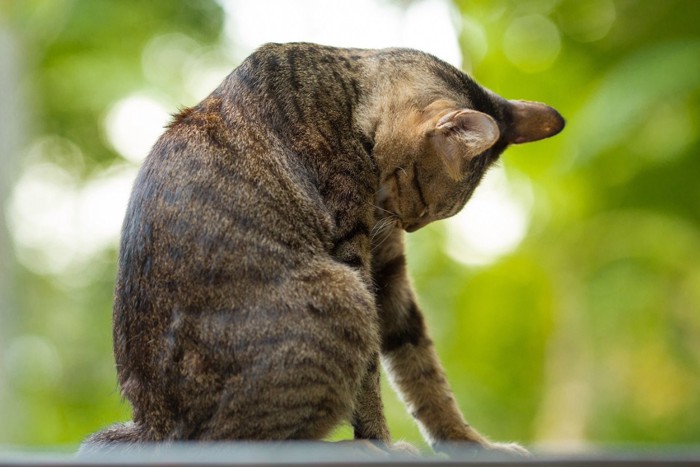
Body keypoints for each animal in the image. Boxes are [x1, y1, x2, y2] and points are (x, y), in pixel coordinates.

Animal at [83, 42, 564, 456]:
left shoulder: (386, 269)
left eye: (427, 212)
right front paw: (381, 442)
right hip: (342, 294)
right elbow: (371, 383)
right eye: (423, 198)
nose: (408, 224)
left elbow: (425, 374)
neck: (348, 87)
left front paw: (469, 443)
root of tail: (154, 428)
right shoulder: (356, 256)